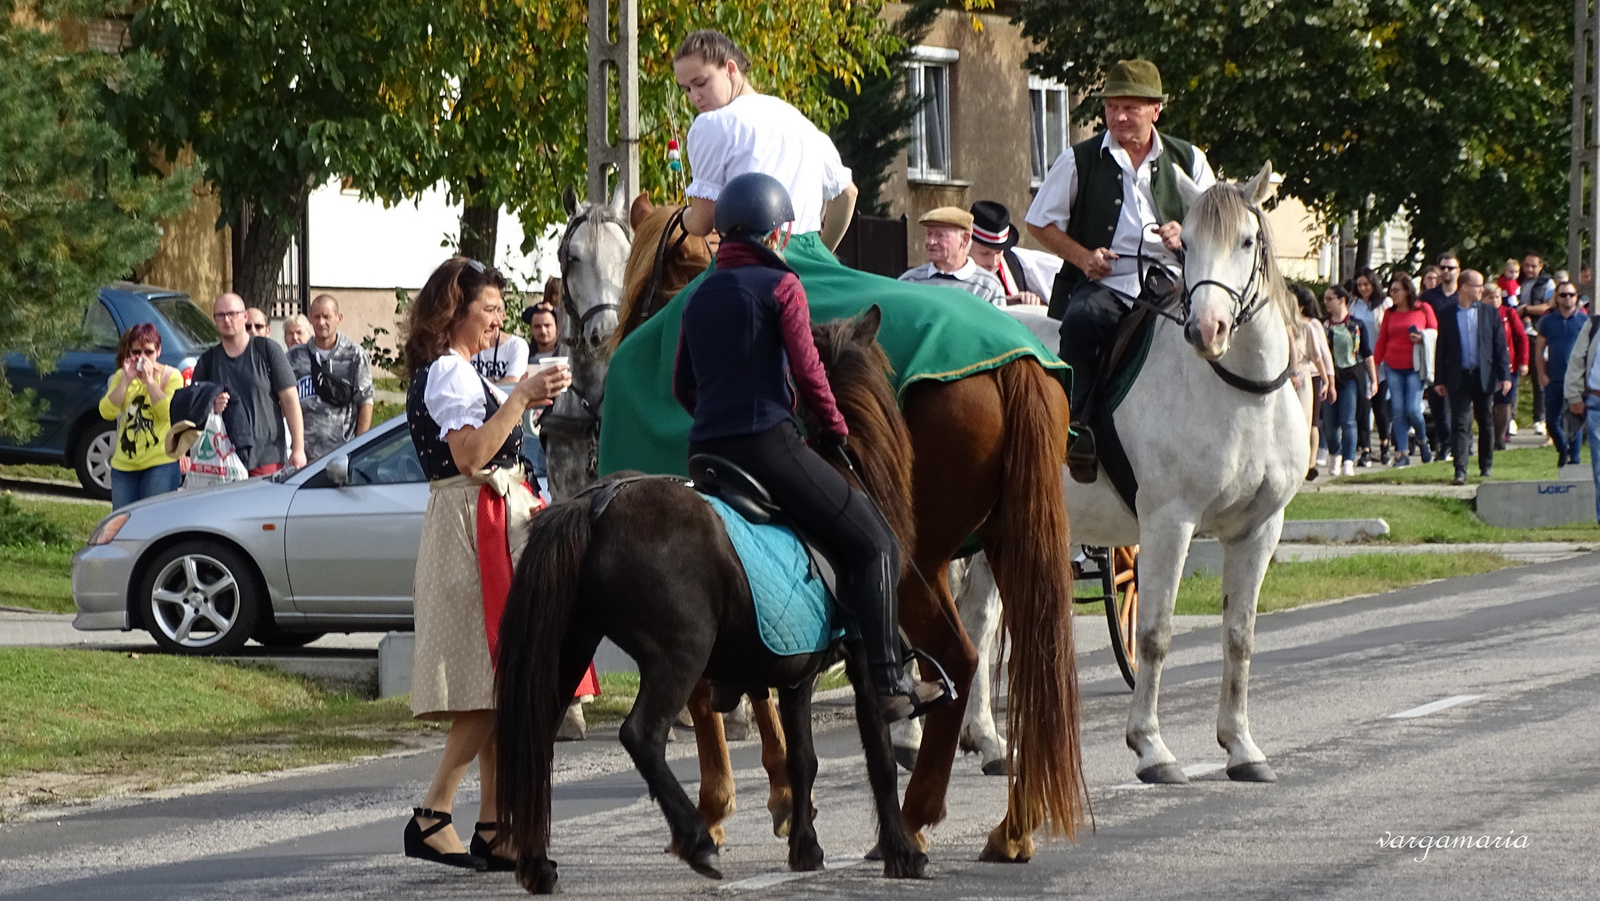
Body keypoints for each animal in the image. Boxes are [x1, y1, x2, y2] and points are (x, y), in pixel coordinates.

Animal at [611, 196, 1088, 857]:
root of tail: (1014, 362)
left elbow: (718, 688)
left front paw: (721, 807)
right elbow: (766, 673)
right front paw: (782, 796)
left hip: (918, 565)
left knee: (958, 659)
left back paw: (913, 818)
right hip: (1008, 544)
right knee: (1032, 669)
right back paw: (1010, 828)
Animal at [1004, 164, 1305, 784]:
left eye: (1247, 241)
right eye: (1185, 242)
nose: (1207, 330)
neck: (1238, 392)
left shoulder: (1260, 529)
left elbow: (1239, 635)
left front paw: (1241, 746)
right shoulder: (1170, 523)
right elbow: (1155, 633)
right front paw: (1151, 747)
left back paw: (989, 744)